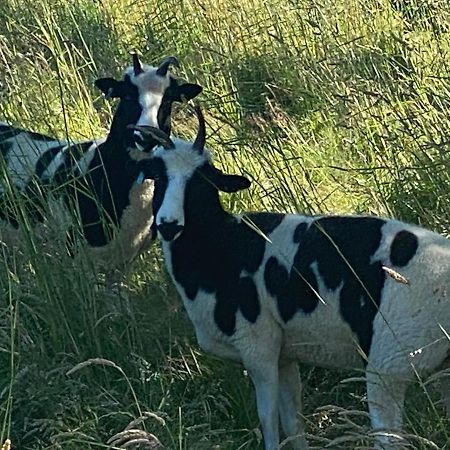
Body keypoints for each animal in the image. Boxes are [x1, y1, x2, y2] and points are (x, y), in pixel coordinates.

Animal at [135, 106, 450, 450]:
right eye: (158, 177)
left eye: (202, 181)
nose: (168, 225)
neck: (223, 245)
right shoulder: (286, 354)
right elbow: (293, 422)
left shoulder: (259, 345)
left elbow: (268, 421)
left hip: (390, 363)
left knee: (390, 439)